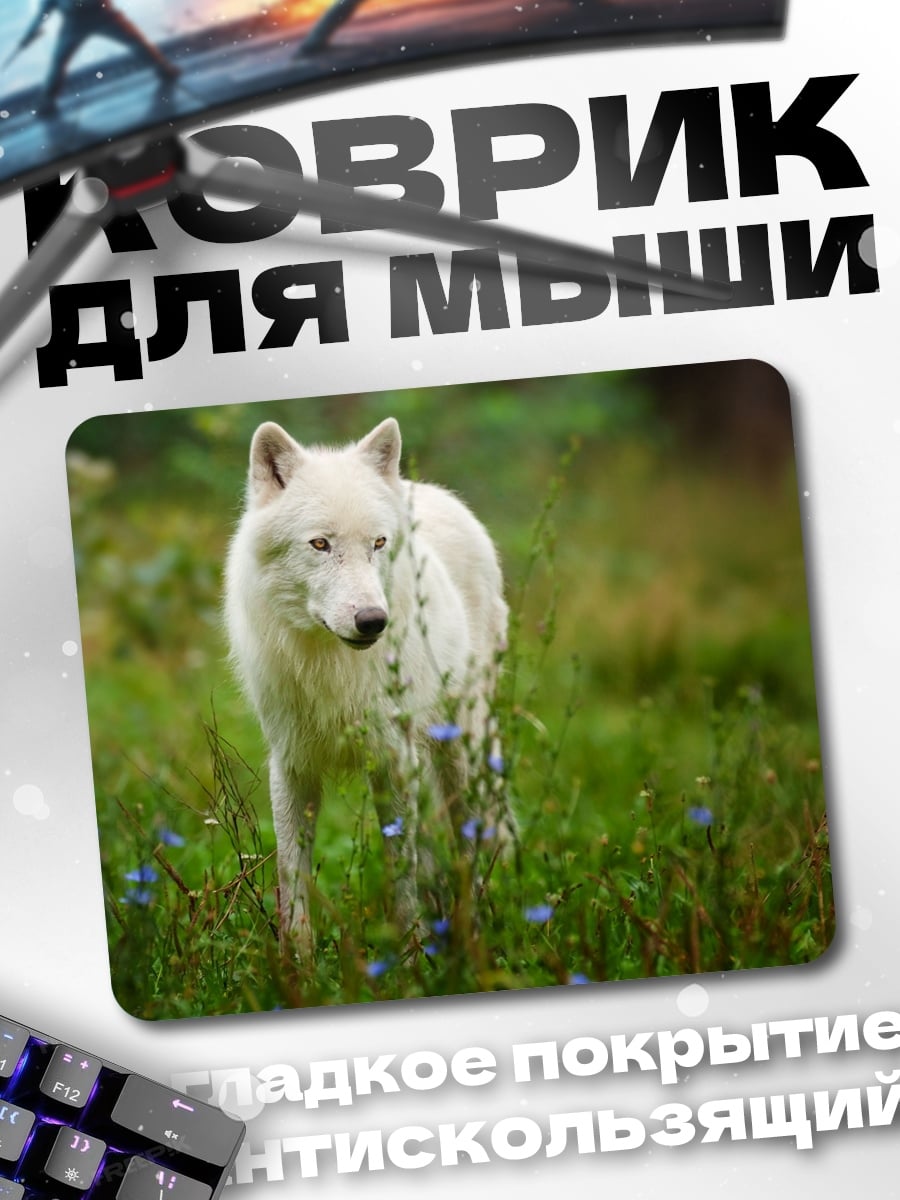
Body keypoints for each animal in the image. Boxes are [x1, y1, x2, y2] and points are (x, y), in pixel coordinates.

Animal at [224, 416, 509, 951]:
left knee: (471, 843)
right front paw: (298, 962)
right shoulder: (291, 765)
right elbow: (293, 876)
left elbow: (401, 873)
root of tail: (426, 488)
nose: (373, 621)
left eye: (378, 544)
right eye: (320, 544)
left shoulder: (395, 760)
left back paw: (475, 932)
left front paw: (413, 955)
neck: (332, 668)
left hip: (462, 751)